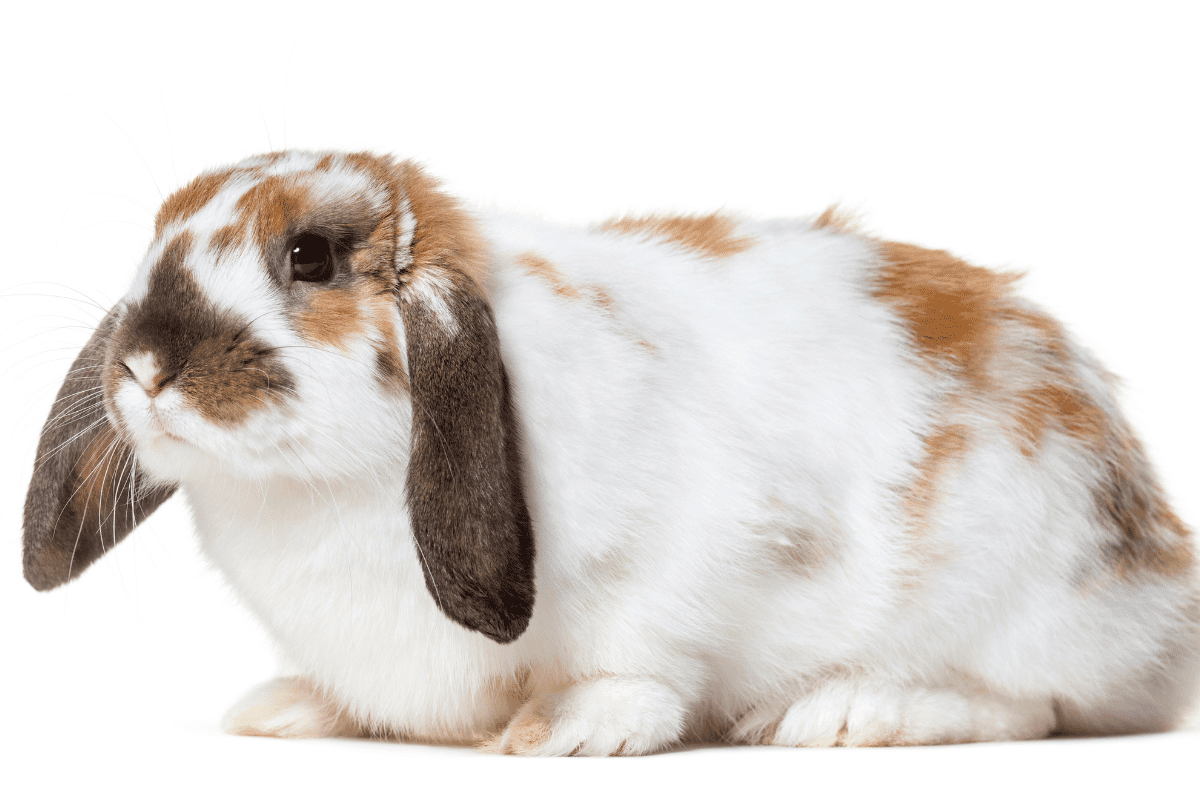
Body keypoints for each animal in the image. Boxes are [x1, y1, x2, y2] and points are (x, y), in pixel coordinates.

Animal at [22, 149, 1199, 755]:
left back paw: (844, 711)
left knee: (1035, 703)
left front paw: (571, 729)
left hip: (1018, 591)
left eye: (308, 256)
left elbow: (642, 656)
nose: (142, 365)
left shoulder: (683, 559)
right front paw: (289, 708)